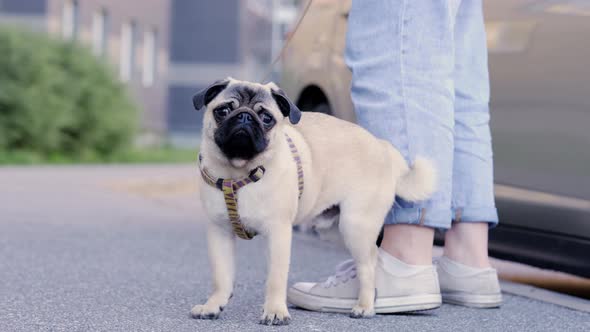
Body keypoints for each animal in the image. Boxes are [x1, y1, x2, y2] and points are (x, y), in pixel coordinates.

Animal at [192, 77, 438, 324]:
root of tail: (383, 147)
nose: (244, 116)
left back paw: (365, 306)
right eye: (223, 111)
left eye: (266, 118)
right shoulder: (219, 232)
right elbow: (221, 276)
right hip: (335, 229)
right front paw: (213, 305)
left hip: (355, 225)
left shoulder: (278, 233)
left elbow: (275, 278)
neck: (238, 174)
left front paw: (275, 310)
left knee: (369, 265)